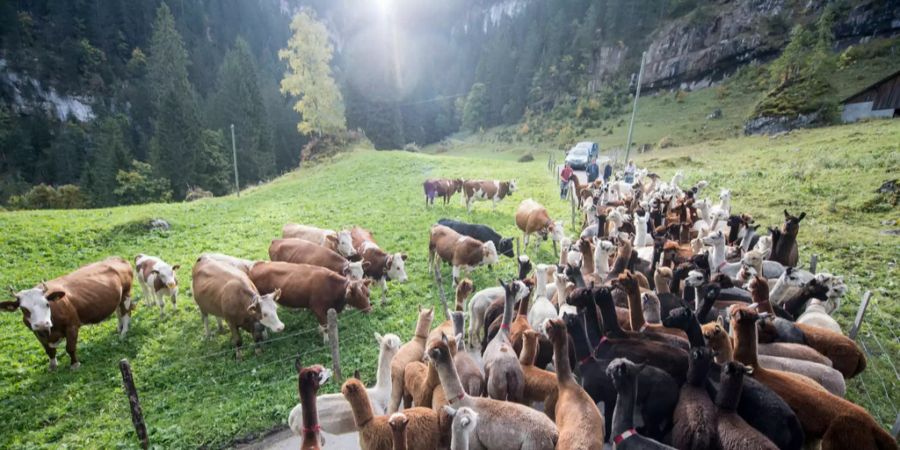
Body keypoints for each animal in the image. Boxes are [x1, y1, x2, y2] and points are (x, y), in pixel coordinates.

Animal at [0, 256, 134, 370]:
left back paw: (123, 333)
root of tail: (117, 258)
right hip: (118, 298)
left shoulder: (72, 326)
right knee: (118, 311)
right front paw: (52, 366)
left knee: (126, 313)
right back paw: (119, 328)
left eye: (47, 304)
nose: (43, 323)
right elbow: (49, 351)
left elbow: (70, 348)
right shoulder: (37, 333)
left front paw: (75, 364)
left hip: (126, 294)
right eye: (24, 309)